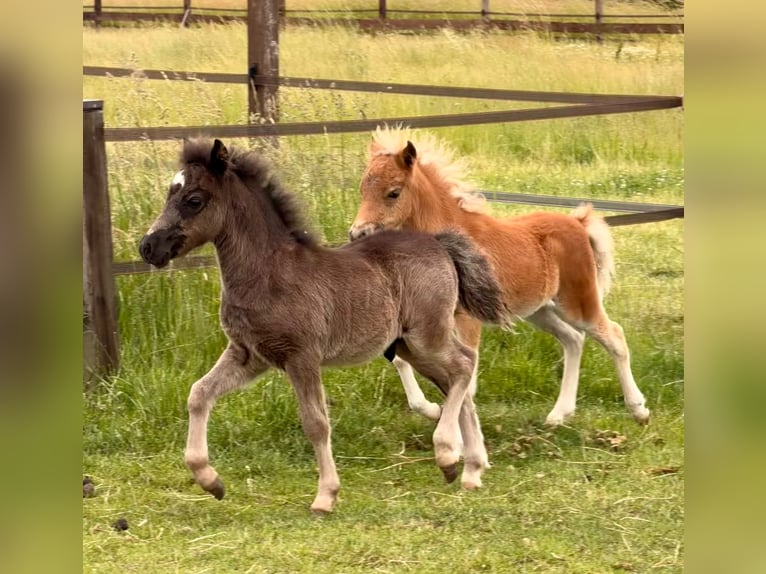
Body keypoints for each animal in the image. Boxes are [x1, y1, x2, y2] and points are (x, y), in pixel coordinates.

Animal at [139, 138, 510, 513]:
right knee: (456, 380)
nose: (148, 247)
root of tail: (439, 242)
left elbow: (316, 423)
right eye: (170, 193)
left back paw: (448, 454)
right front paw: (210, 480)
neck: (270, 273)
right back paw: (471, 469)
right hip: (411, 346)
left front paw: (325, 495)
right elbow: (198, 394)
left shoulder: (301, 357)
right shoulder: (249, 355)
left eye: (193, 200)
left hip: (427, 337)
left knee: (464, 365)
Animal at [349, 126, 650, 427]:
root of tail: (577, 223)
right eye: (362, 190)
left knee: (614, 335)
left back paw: (638, 409)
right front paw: (432, 410)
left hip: (577, 301)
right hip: (538, 310)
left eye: (393, 193)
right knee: (573, 339)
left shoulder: (466, 319)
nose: (357, 233)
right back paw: (558, 415)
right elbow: (402, 360)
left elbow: (465, 377)